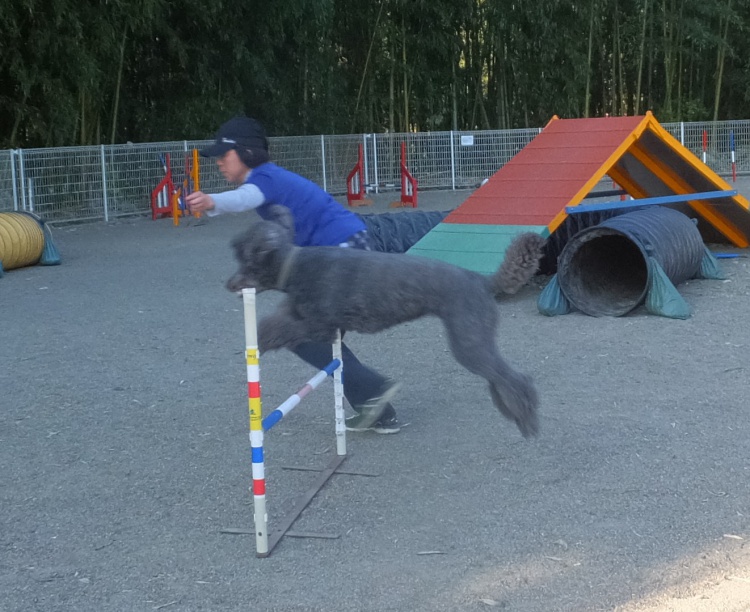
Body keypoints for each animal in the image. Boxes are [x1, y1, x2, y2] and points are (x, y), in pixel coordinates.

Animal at [227, 205, 546, 438]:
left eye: (248, 260)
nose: (228, 283)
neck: (296, 266)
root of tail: (483, 280)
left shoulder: (320, 326)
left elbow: (284, 329)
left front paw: (262, 341)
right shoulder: (301, 314)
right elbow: (276, 321)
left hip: (468, 340)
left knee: (517, 380)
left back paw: (526, 421)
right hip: (474, 340)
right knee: (500, 378)